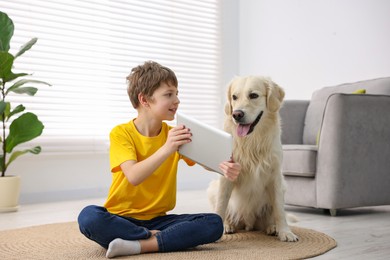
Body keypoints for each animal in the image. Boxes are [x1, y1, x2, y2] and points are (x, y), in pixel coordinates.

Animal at [209, 75, 298, 242]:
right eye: (234, 97)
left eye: (254, 95)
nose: (236, 114)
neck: (251, 141)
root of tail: (248, 224)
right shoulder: (226, 175)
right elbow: (221, 204)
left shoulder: (275, 175)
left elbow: (279, 209)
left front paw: (285, 232)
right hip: (212, 188)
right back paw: (227, 225)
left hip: (282, 187)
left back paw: (272, 227)